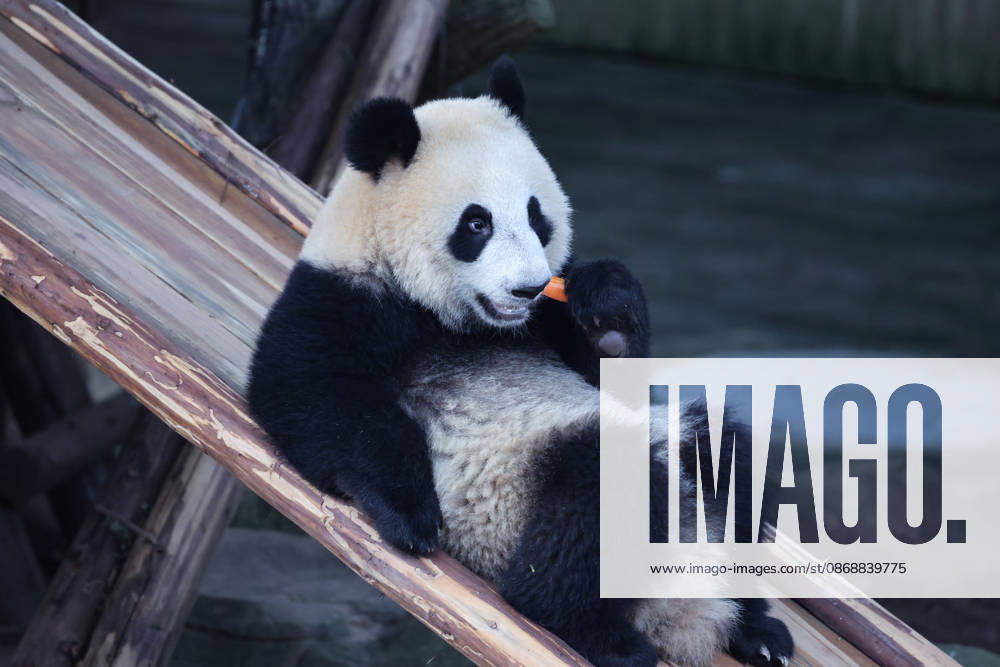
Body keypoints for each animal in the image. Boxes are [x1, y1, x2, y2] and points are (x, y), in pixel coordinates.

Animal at [248, 57, 793, 667]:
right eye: (476, 224)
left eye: (538, 217)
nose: (529, 287)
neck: (462, 321)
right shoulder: (341, 299)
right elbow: (310, 395)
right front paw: (409, 515)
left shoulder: (545, 325)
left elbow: (611, 370)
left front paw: (608, 307)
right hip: (515, 508)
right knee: (590, 499)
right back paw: (598, 634)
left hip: (683, 455)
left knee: (729, 453)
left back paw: (756, 629)